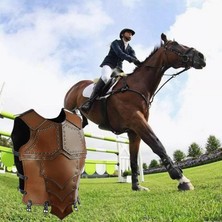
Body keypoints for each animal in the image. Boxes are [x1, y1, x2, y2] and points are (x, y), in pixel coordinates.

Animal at [63, 33, 206, 191]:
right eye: (175, 46)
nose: (201, 57)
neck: (138, 86)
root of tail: (75, 86)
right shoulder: (137, 122)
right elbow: (157, 145)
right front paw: (182, 179)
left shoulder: (134, 131)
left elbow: (133, 159)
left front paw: (136, 186)